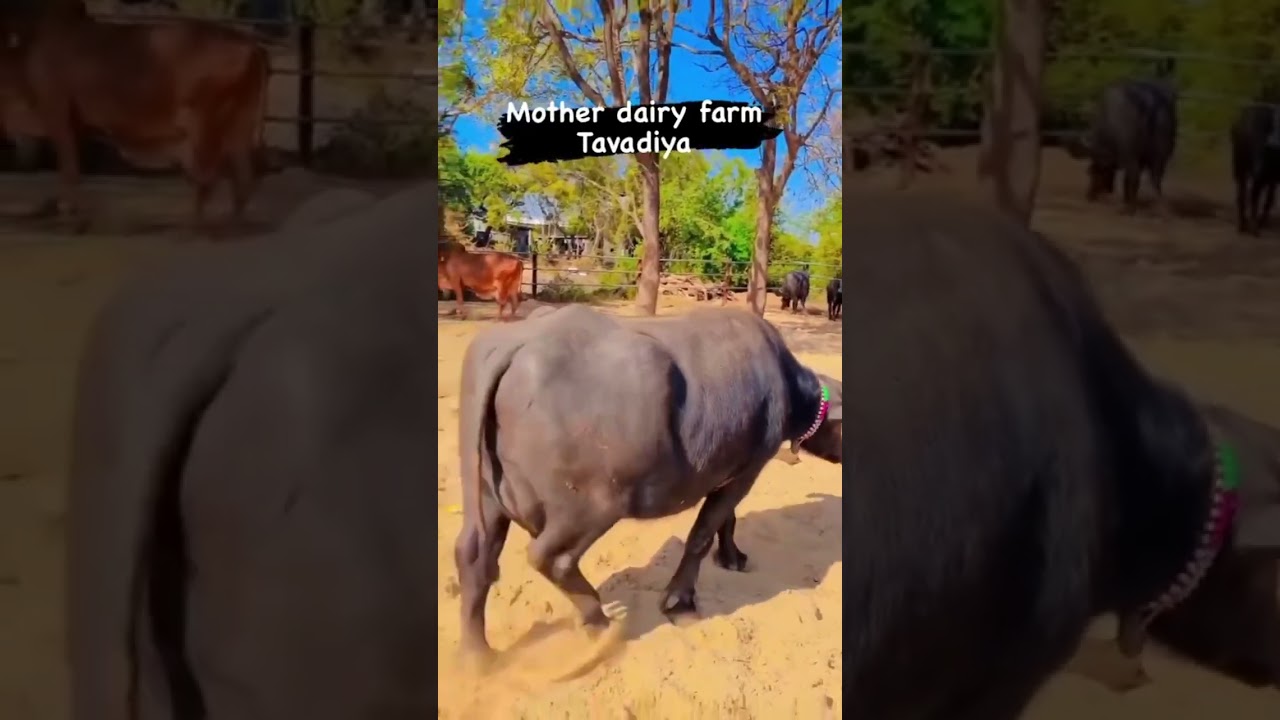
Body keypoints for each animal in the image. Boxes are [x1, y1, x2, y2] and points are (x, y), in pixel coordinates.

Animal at [454, 305, 843, 660]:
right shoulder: (749, 468)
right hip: (595, 504)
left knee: (473, 555)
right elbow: (702, 533)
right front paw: (680, 603)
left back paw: (479, 657)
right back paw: (600, 623)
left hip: (485, 494)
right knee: (551, 557)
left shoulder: (727, 470)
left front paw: (733, 558)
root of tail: (515, 343)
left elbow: (726, 521)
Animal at [1070, 77, 1178, 212]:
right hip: (1161, 153)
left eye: (1091, 172)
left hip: (1130, 151)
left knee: (1135, 175)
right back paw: (1159, 207)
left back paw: (1128, 209)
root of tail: (1149, 102)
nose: (1089, 196)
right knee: (1156, 178)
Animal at [1231, 101, 1280, 235]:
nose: (1273, 143)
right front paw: (1256, 225)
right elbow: (1259, 198)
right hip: (1239, 166)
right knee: (1246, 194)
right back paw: (1247, 224)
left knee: (1248, 194)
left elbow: (1268, 200)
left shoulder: (1271, 178)